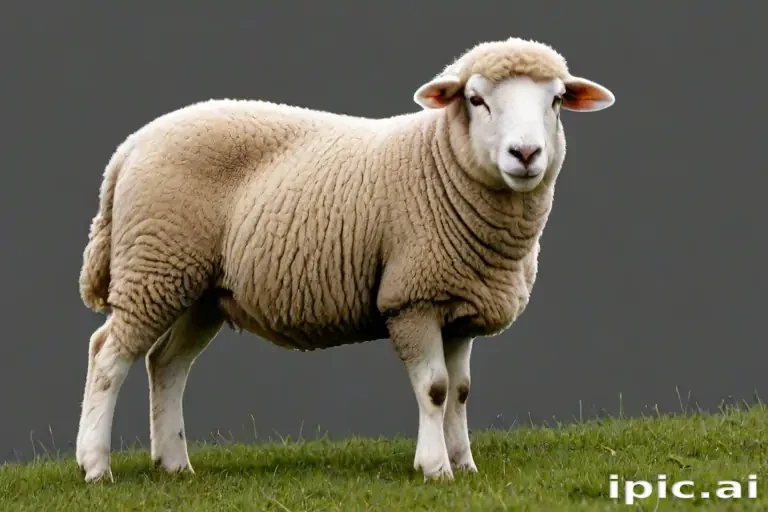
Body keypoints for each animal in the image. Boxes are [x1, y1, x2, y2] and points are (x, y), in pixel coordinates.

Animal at [75, 36, 615, 484]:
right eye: (476, 100)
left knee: (165, 364)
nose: (525, 154)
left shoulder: (458, 303)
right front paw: (435, 468)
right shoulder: (412, 297)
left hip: (198, 289)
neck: (441, 164)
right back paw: (95, 465)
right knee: (107, 356)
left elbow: (460, 390)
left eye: (555, 101)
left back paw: (174, 464)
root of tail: (129, 147)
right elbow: (436, 389)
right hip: (154, 265)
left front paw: (464, 462)